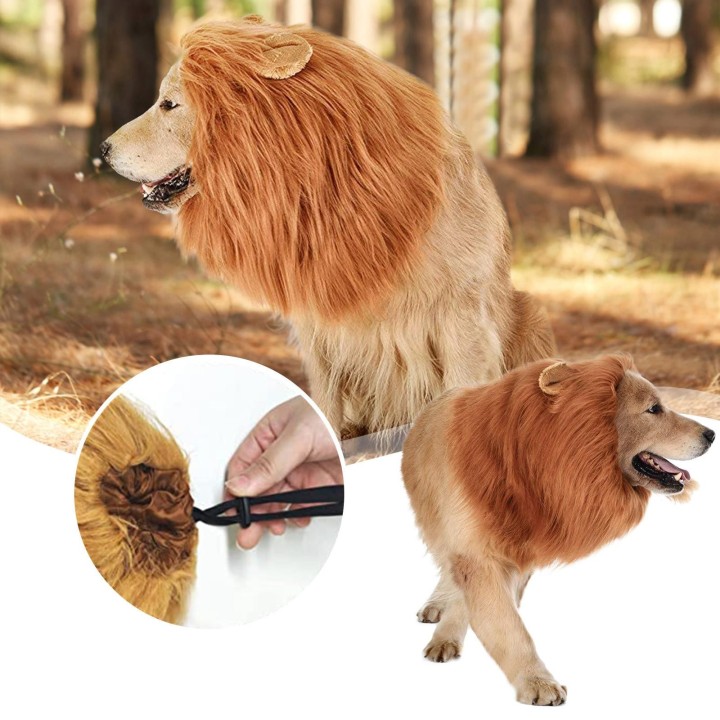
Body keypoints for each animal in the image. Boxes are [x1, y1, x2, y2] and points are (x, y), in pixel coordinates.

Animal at [401, 354, 715, 705]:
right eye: (653, 409)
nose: (711, 434)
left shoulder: (514, 551)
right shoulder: (475, 550)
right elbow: (508, 627)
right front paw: (538, 684)